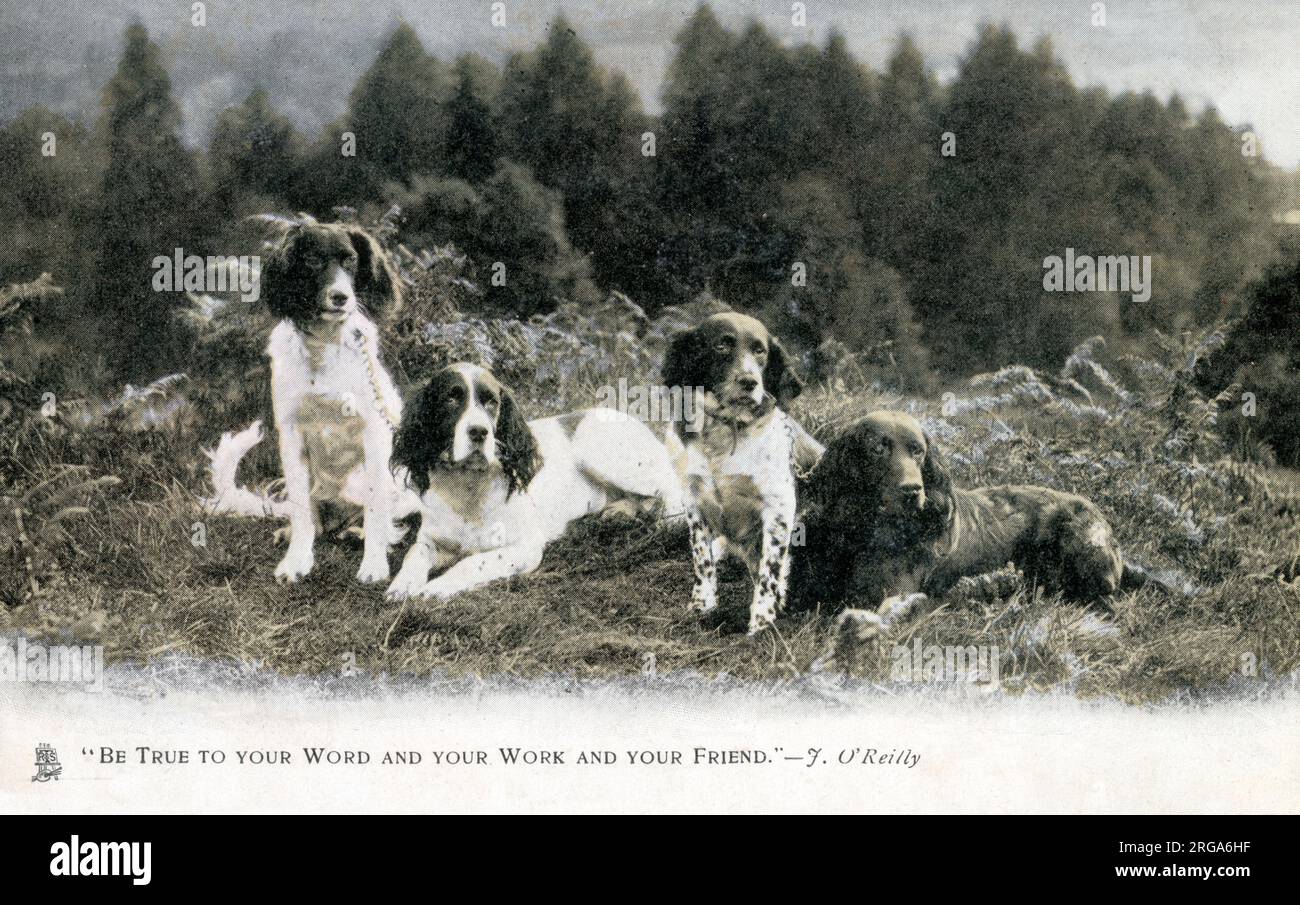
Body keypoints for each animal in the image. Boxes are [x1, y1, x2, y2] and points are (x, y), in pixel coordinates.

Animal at [202, 222, 416, 582]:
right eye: (313, 261)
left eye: (351, 259)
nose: (341, 297)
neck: (324, 346)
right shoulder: (291, 435)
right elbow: (302, 515)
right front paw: (296, 561)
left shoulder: (374, 433)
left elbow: (376, 509)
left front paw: (374, 564)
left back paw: (360, 533)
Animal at [384, 361, 691, 600]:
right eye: (451, 399)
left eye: (491, 402)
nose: (480, 432)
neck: (468, 486)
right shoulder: (431, 540)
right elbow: (414, 554)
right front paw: (402, 585)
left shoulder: (526, 547)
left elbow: (473, 561)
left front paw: (437, 587)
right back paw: (618, 512)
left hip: (599, 447)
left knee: (671, 487)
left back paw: (668, 520)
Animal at [660, 314, 821, 631]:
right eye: (722, 345)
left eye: (760, 351)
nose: (749, 382)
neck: (727, 432)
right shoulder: (694, 501)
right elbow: (701, 559)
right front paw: (703, 604)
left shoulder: (778, 507)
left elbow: (770, 571)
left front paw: (762, 621)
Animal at [780, 410, 1138, 618]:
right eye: (877, 448)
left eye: (918, 450)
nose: (913, 491)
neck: (868, 532)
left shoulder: (889, 594)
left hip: (1084, 544)